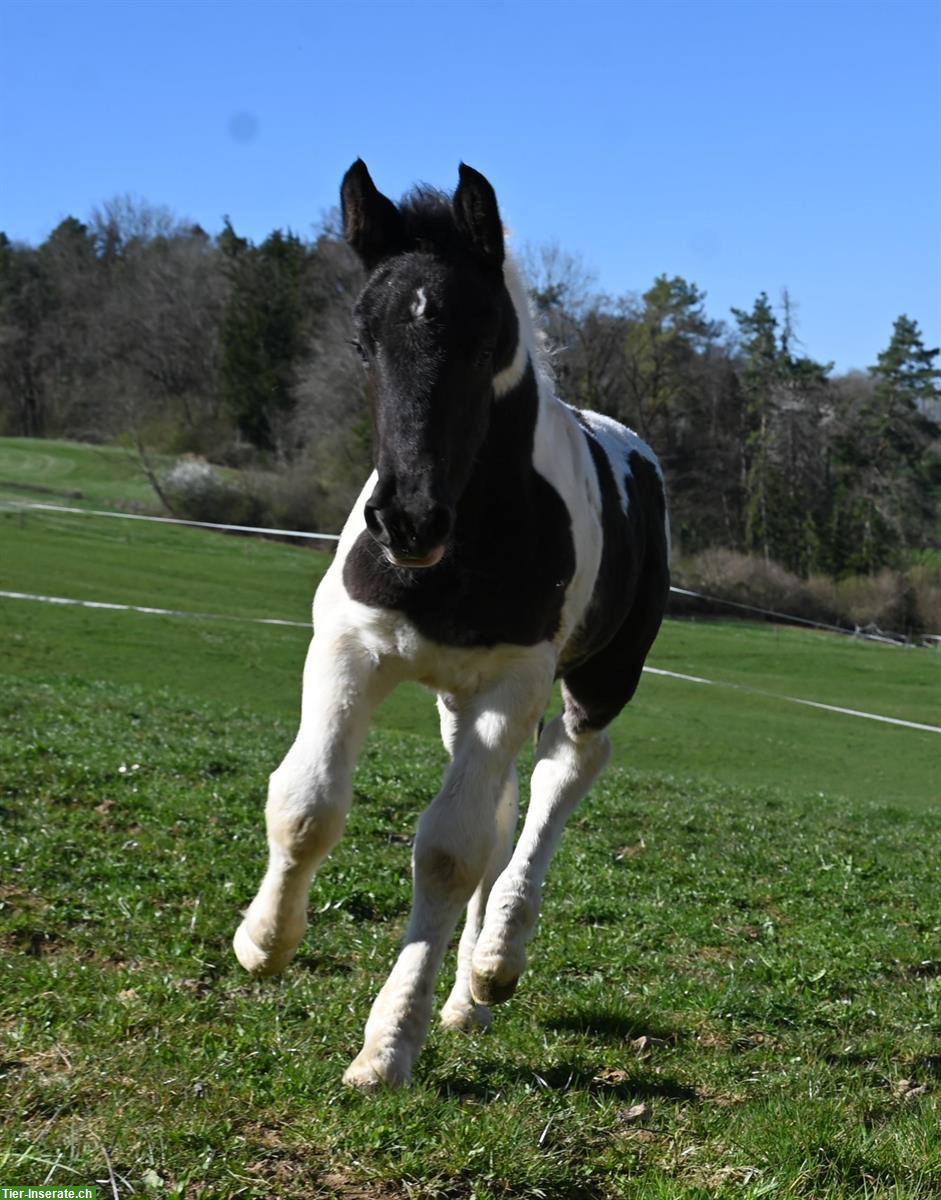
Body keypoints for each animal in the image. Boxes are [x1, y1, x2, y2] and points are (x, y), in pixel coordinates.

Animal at [232, 159, 667, 1089]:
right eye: (363, 344)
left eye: (480, 341)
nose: (406, 521)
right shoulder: (350, 648)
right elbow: (306, 803)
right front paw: (264, 942)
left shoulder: (513, 679)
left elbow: (447, 853)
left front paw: (389, 1045)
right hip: (453, 703)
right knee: (503, 812)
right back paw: (468, 996)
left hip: (591, 679)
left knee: (560, 777)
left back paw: (495, 964)